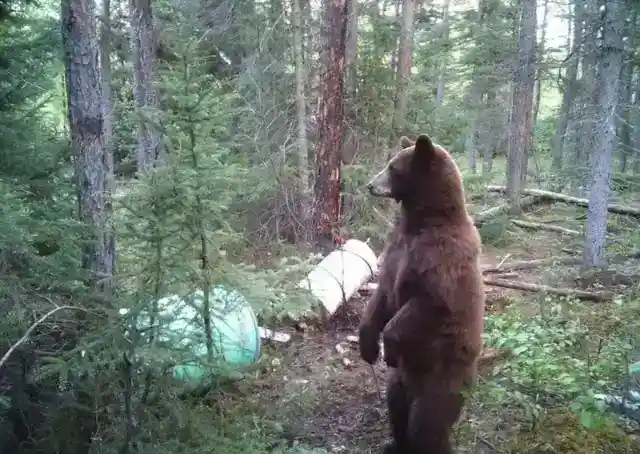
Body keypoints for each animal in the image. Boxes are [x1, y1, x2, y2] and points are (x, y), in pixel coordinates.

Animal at [358, 134, 485, 454]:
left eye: (393, 167)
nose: (370, 184)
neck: (421, 224)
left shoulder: (441, 260)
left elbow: (427, 303)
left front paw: (388, 348)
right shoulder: (395, 251)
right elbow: (382, 297)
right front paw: (368, 346)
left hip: (443, 378)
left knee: (428, 423)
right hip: (400, 382)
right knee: (397, 406)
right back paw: (395, 444)